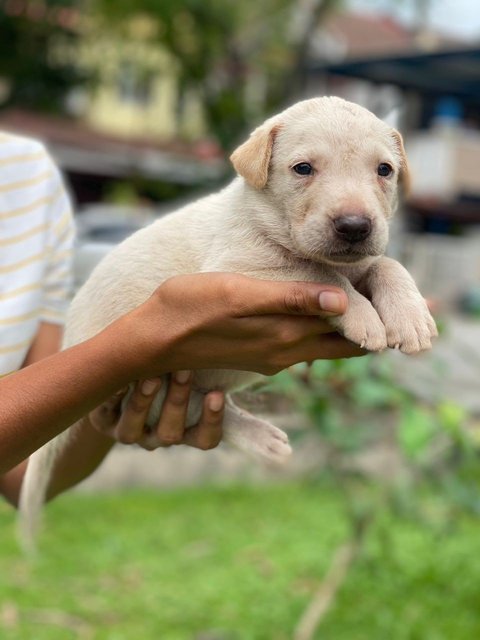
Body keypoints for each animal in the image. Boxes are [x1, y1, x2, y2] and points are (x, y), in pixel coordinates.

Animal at [18, 97, 436, 536]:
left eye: (384, 170)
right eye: (303, 168)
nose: (355, 226)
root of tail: (69, 343)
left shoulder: (362, 260)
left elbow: (386, 265)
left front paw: (411, 318)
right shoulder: (243, 267)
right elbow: (323, 274)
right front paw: (364, 317)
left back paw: (264, 437)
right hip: (141, 384)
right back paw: (259, 436)